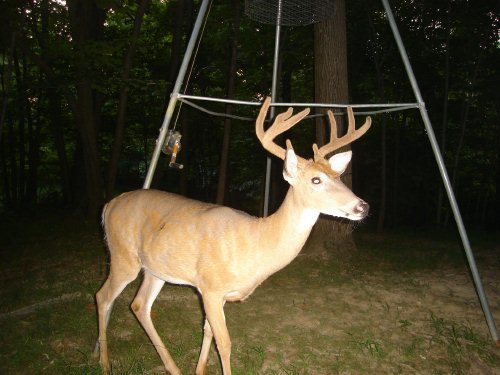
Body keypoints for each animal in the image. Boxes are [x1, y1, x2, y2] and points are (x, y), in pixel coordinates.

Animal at [94, 97, 372, 375]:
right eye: (316, 180)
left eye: (338, 177)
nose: (363, 206)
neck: (257, 243)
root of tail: (109, 205)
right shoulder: (210, 287)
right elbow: (225, 342)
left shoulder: (219, 294)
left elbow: (207, 331)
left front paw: (199, 370)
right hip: (123, 256)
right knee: (103, 296)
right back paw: (104, 363)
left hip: (156, 269)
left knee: (139, 305)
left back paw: (172, 367)